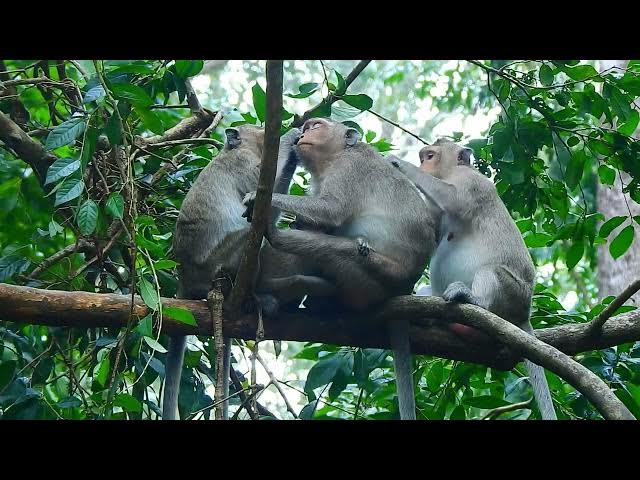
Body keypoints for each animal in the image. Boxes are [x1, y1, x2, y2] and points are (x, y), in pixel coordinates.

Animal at [164, 125, 301, 420]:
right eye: (260, 129)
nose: (265, 130)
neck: (234, 149)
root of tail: (185, 276)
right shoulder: (243, 163)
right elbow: (260, 193)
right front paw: (290, 137)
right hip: (219, 261)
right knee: (253, 236)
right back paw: (254, 297)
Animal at [243, 118, 439, 420]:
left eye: (317, 125)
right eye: (307, 127)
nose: (304, 133)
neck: (337, 155)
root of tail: (404, 288)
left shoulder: (348, 169)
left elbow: (330, 211)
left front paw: (257, 197)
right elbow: (321, 221)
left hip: (374, 276)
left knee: (340, 248)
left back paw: (275, 241)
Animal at [387, 138, 557, 420]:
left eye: (430, 156)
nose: (422, 165)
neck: (450, 172)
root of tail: (524, 314)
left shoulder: (472, 182)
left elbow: (454, 199)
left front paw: (397, 163)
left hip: (513, 294)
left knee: (490, 272)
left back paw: (474, 300)